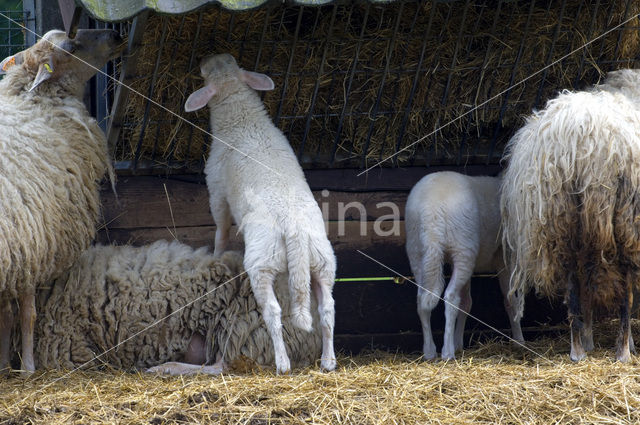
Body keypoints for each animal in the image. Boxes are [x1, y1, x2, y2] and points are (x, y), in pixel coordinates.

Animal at [0, 28, 122, 372]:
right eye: (71, 47)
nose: (115, 35)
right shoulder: (32, 237)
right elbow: (26, 313)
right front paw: (27, 368)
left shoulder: (20, 251)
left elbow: (6, 314)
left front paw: (4, 365)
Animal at [182, 53, 338, 374]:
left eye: (204, 74)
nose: (210, 58)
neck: (242, 118)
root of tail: (294, 231)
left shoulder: (216, 186)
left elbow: (221, 228)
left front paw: (216, 254)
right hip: (323, 261)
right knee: (326, 309)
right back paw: (328, 361)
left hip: (262, 264)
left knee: (273, 312)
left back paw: (283, 363)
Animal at [404, 171, 524, 360]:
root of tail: (432, 210)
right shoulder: (505, 258)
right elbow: (510, 299)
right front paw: (519, 340)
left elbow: (466, 303)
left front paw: (458, 341)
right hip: (463, 248)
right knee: (451, 297)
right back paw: (447, 351)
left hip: (417, 250)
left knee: (423, 299)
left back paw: (430, 351)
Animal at [502, 68, 640, 362]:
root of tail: (576, 136)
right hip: (622, 214)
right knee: (624, 288)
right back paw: (623, 350)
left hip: (560, 221)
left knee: (574, 284)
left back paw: (578, 348)